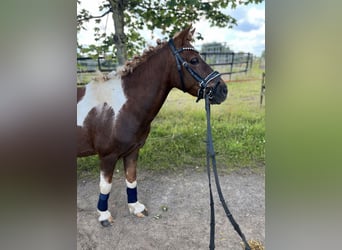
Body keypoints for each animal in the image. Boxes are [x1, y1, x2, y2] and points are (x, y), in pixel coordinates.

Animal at [77, 26, 227, 227]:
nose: (223, 90)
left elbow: (131, 178)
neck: (122, 106)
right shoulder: (107, 156)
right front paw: (104, 215)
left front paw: (136, 208)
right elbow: (105, 185)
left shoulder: (132, 150)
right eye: (194, 60)